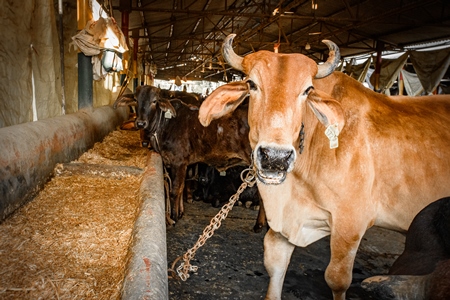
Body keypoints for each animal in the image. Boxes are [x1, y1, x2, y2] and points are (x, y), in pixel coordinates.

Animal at [200, 34, 450, 300]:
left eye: (307, 90)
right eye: (252, 84)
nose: (275, 157)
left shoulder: (349, 226)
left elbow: (337, 280)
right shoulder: (285, 224)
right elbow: (275, 265)